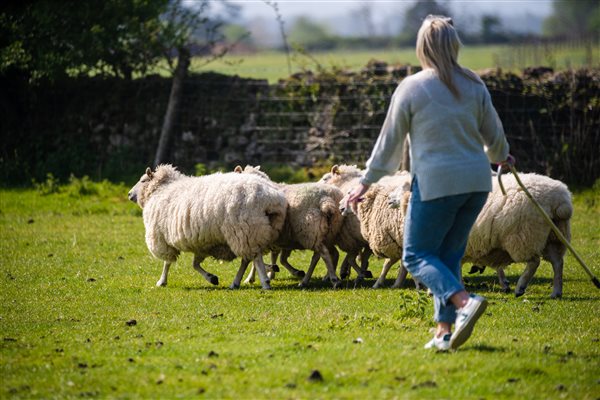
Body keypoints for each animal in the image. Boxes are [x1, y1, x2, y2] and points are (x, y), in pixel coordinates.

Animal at [127, 164, 288, 290]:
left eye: (143, 180)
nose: (129, 194)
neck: (160, 189)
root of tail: (270, 198)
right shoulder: (201, 242)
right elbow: (195, 264)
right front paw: (212, 278)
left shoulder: (162, 238)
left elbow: (167, 263)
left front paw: (162, 281)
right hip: (251, 233)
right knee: (248, 259)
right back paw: (238, 282)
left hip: (245, 231)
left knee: (254, 258)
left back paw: (264, 282)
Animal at [386, 171, 576, 296]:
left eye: (404, 186)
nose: (388, 200)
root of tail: (560, 200)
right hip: (553, 237)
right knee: (558, 263)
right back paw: (556, 292)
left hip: (523, 236)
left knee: (534, 261)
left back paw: (520, 287)